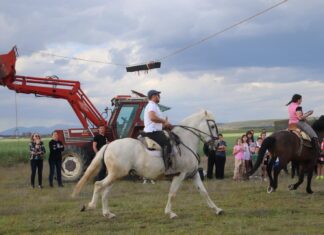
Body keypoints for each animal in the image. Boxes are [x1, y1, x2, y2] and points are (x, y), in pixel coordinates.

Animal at [72, 109, 224, 218]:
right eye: (212, 126)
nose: (217, 144)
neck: (185, 142)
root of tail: (109, 144)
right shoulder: (180, 175)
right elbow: (172, 194)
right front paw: (170, 213)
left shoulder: (193, 174)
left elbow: (204, 192)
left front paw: (217, 209)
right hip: (116, 174)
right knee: (98, 185)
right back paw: (90, 206)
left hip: (116, 175)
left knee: (105, 191)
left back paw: (107, 213)